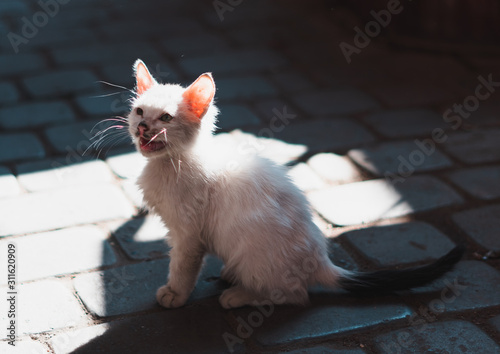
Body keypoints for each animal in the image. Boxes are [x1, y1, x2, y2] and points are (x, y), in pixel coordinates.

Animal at [127, 59, 462, 308]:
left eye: (166, 118)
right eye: (139, 111)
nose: (142, 127)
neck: (172, 162)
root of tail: (320, 260)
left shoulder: (187, 235)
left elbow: (182, 268)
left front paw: (175, 294)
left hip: (252, 253)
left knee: (295, 295)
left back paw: (240, 295)